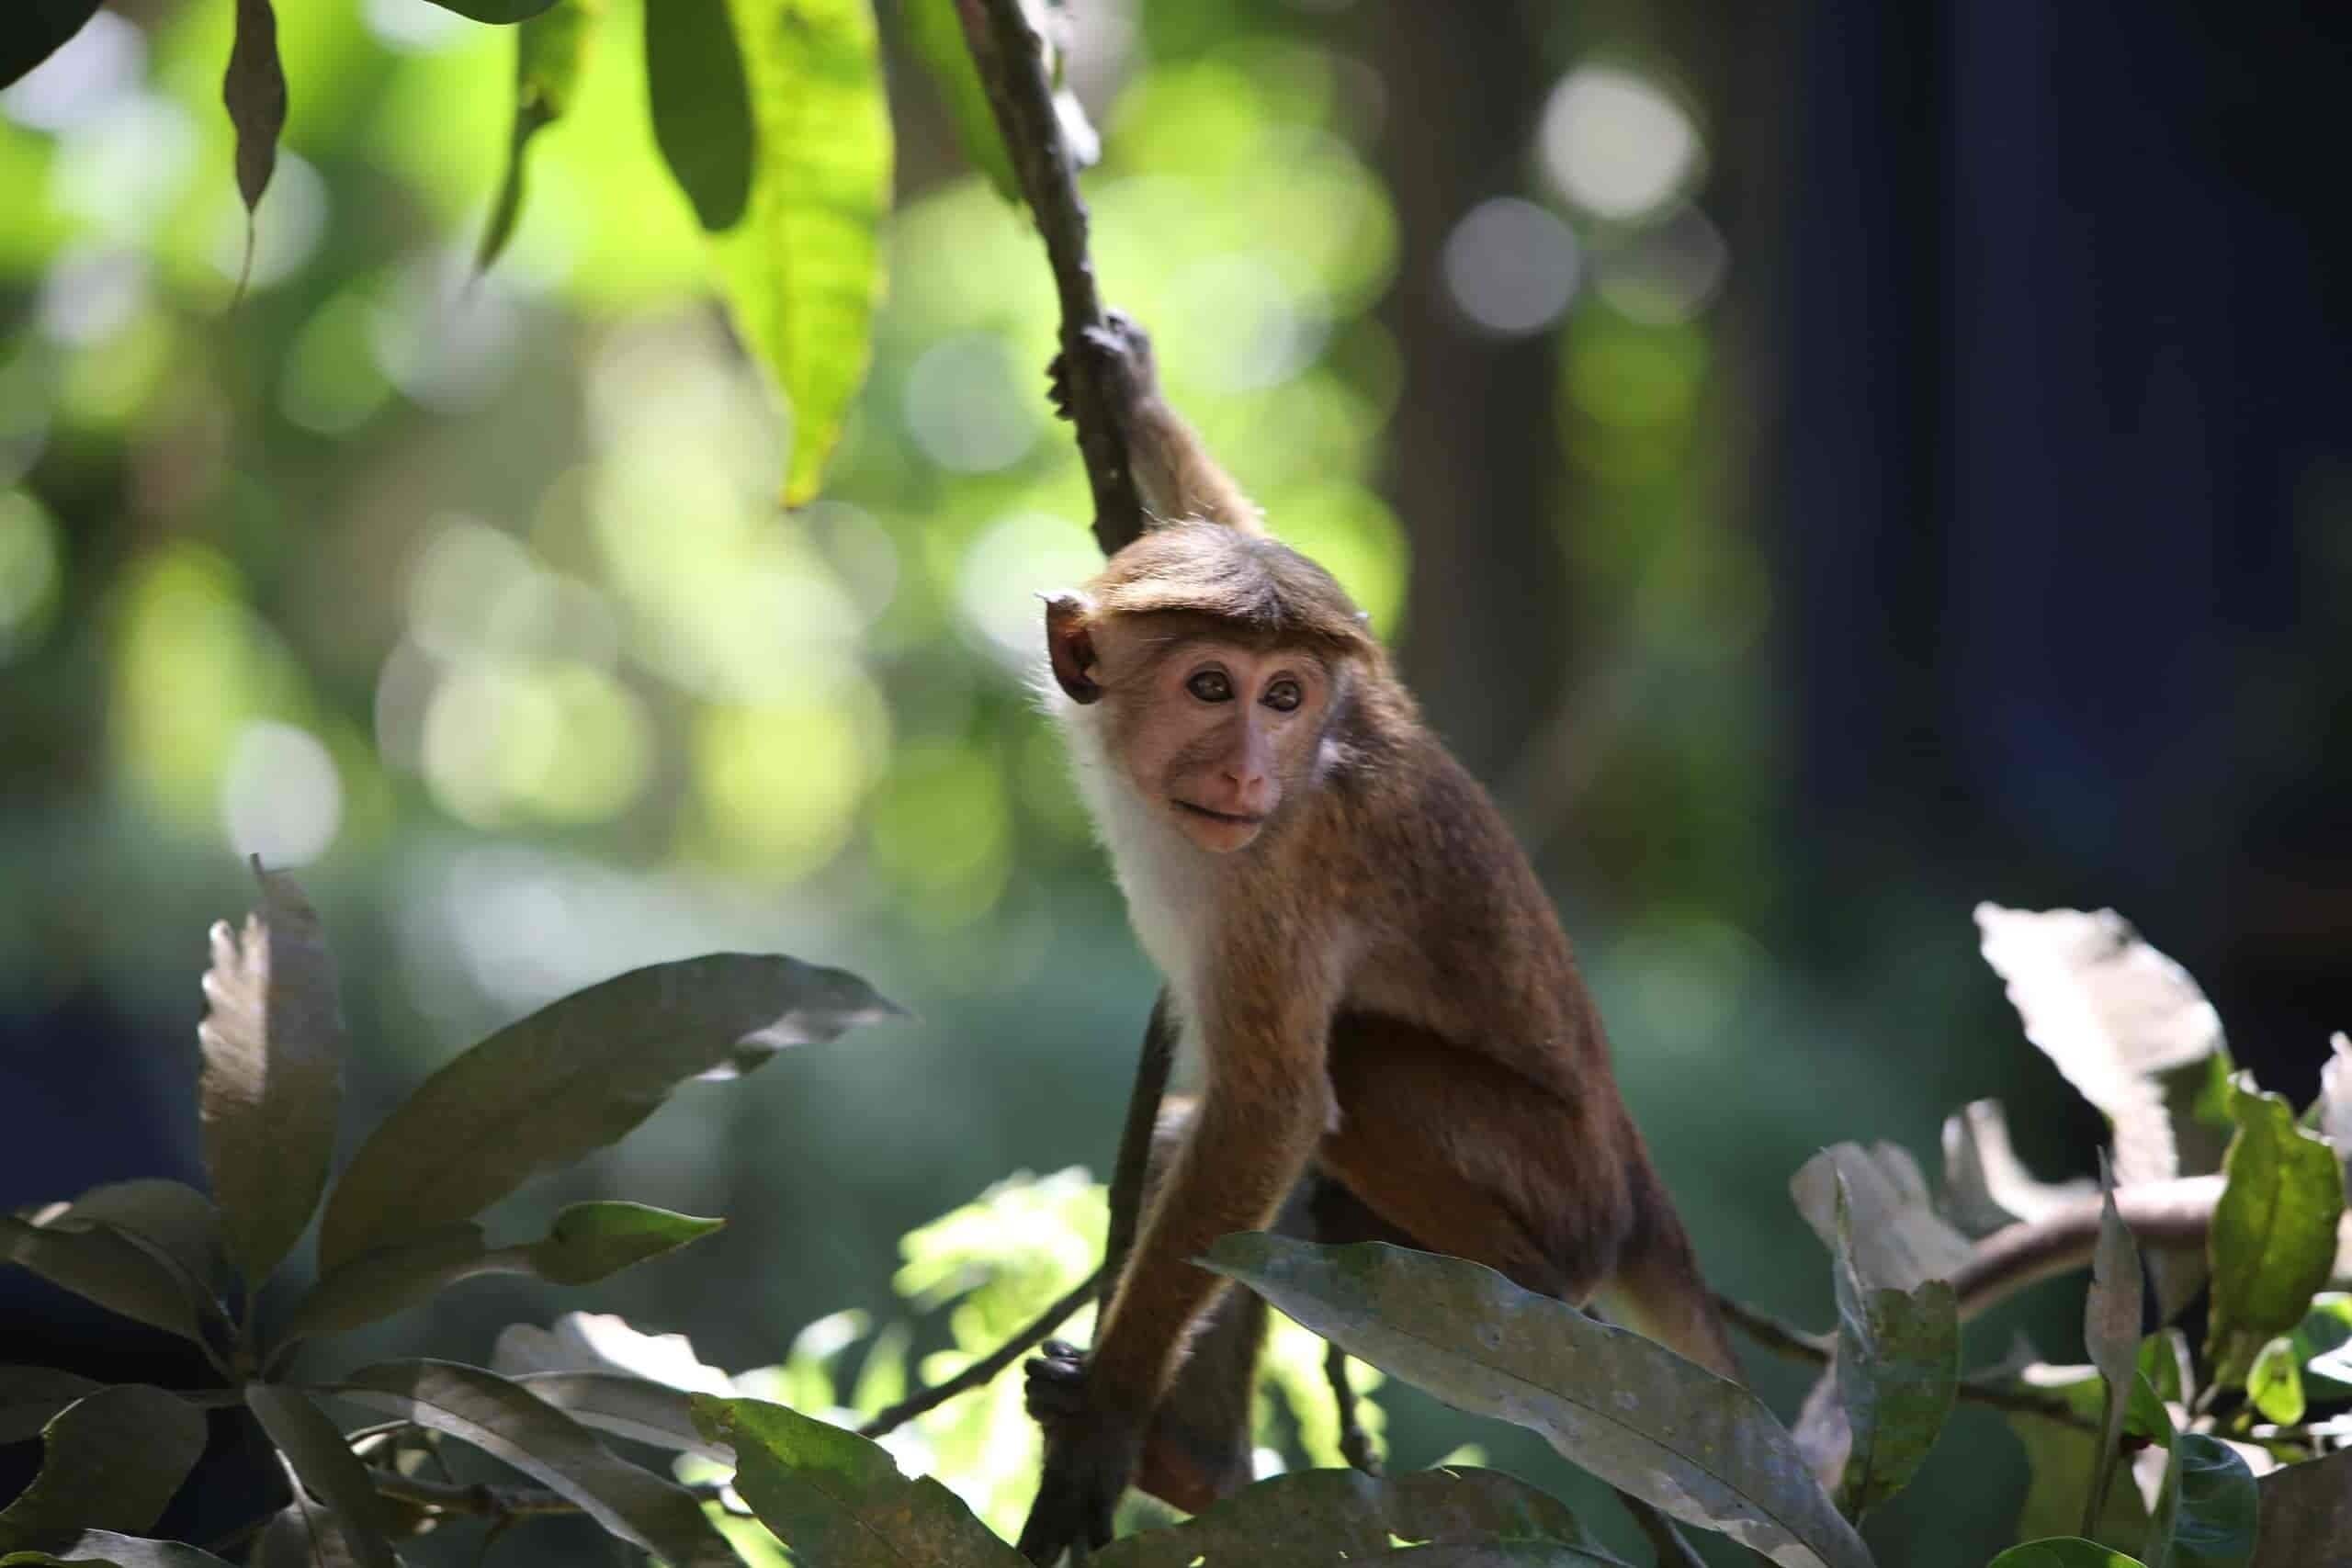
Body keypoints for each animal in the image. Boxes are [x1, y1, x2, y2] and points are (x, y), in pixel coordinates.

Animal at [1017, 312, 1742, 1563]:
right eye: (1212, 686)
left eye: (1283, 699)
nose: (1248, 772)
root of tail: (1635, 1184)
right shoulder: (1366, 695)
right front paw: (1129, 392)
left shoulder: (1288, 871)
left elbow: (1272, 1108)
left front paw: (1110, 1415)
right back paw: (1199, 1463)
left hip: (1560, 1186)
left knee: (1343, 1068)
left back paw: (1518, 1288)